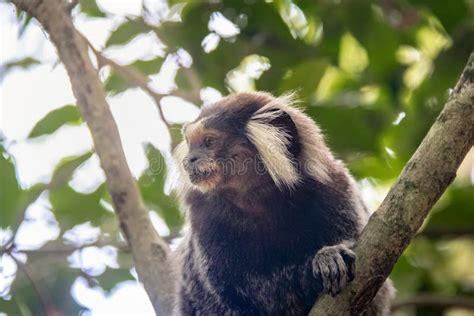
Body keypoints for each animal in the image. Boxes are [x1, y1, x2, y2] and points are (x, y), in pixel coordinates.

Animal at [172, 92, 394, 316]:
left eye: (209, 141)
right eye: (191, 144)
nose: (189, 159)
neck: (259, 199)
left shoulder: (335, 186)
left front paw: (330, 255)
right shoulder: (204, 217)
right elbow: (252, 293)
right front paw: (321, 264)